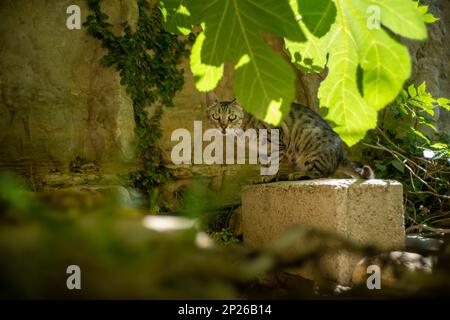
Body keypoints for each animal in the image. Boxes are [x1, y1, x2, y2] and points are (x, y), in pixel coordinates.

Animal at [206, 92, 374, 180]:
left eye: (232, 117)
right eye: (216, 117)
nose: (223, 126)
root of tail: (340, 155)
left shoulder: (276, 143)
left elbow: (273, 164)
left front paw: (269, 178)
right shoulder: (262, 150)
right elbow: (265, 164)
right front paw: (263, 177)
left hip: (311, 150)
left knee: (321, 174)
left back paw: (298, 174)